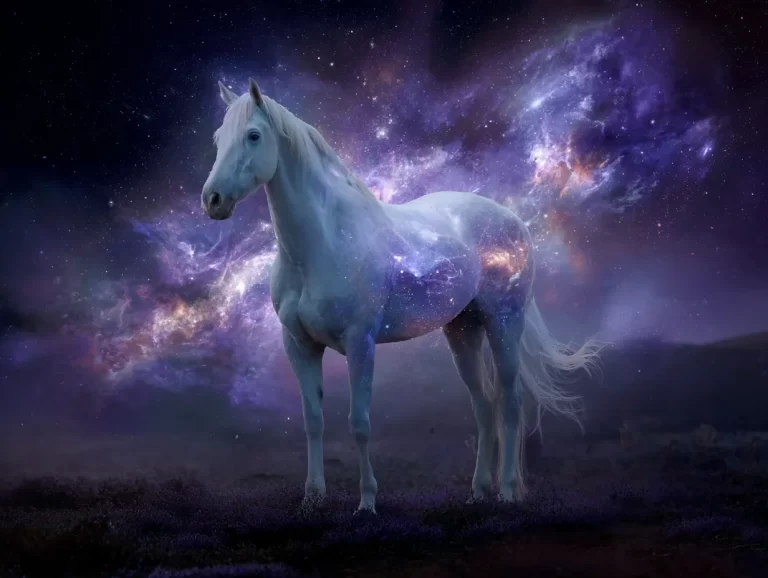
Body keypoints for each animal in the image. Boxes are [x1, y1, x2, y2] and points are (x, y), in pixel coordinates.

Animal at [201, 78, 601, 513]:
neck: (322, 245)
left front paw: (367, 502)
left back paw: (509, 492)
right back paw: (478, 492)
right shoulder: (300, 345)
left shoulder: (360, 344)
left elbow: (359, 424)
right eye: (218, 138)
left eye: (254, 135)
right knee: (483, 406)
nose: (213, 200)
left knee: (511, 404)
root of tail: (513, 220)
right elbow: (313, 421)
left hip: (504, 325)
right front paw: (313, 497)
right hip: (463, 331)